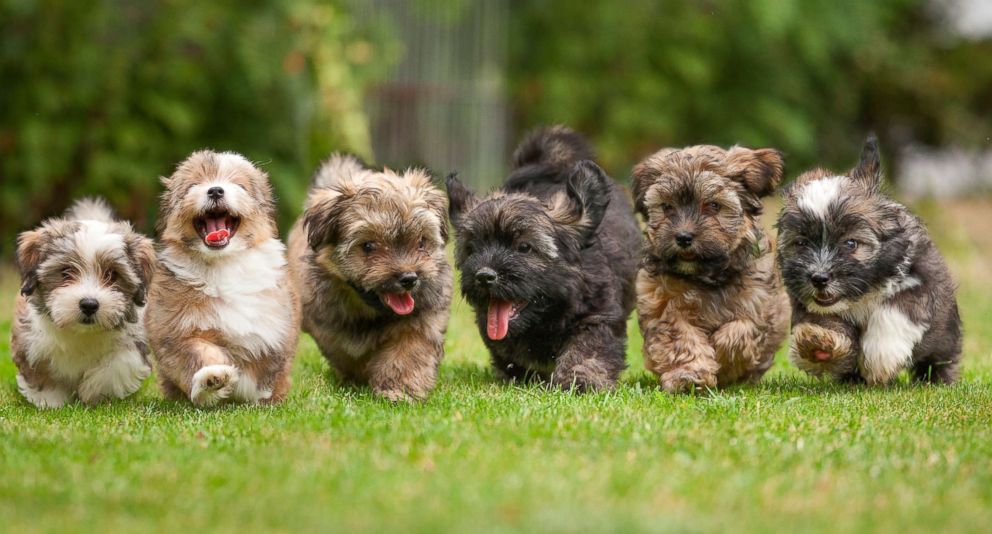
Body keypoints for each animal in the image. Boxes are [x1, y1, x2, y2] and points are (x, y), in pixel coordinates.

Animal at [10, 199, 156, 408]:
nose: (89, 304)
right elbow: (41, 374)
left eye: (112, 274)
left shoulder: (135, 343)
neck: (82, 333)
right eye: (66, 272)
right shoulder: (29, 341)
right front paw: (51, 401)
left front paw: (92, 390)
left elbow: (117, 366)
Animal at [143, 153, 298, 408]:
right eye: (193, 185)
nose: (215, 190)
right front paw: (212, 379)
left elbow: (264, 370)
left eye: (239, 185)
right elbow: (197, 353)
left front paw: (260, 398)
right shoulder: (174, 331)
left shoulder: (274, 329)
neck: (222, 264)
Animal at [286, 155, 454, 402]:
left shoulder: (423, 316)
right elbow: (345, 351)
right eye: (368, 246)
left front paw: (400, 389)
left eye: (421, 242)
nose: (409, 278)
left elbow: (410, 349)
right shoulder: (325, 324)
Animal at [444, 127, 644, 392]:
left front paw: (580, 380)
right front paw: (520, 374)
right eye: (473, 249)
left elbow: (588, 348)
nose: (484, 276)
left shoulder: (597, 314)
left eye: (524, 247)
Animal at [636, 144, 792, 392]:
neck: (707, 275)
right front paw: (690, 376)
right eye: (667, 206)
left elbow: (738, 333)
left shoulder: (757, 305)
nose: (683, 237)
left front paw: (722, 361)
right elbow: (681, 338)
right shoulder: (664, 304)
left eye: (713, 205)